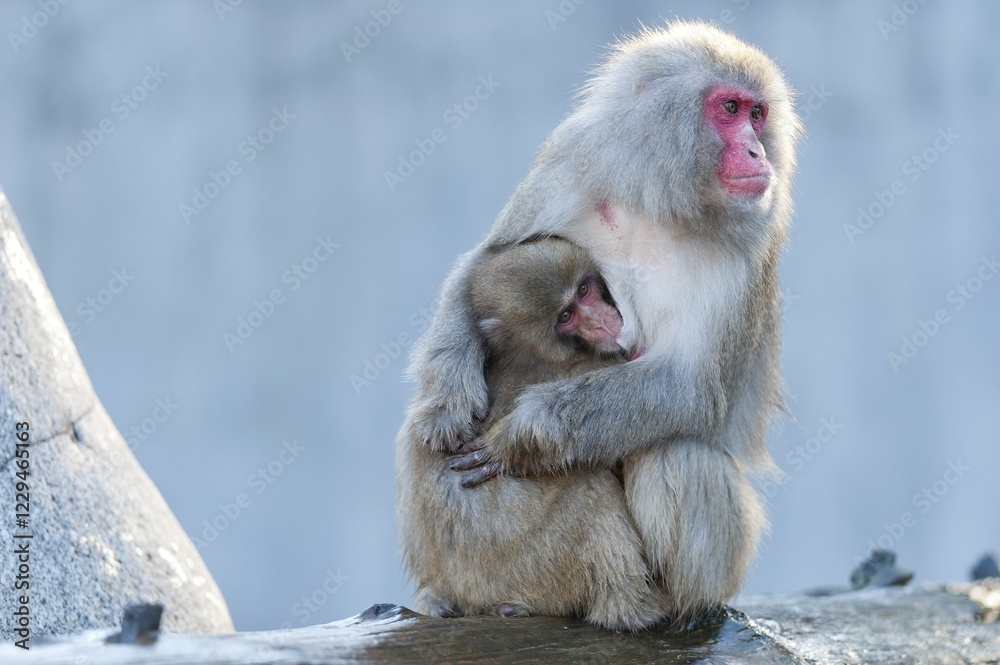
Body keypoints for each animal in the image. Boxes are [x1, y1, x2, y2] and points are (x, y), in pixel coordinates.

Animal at [395, 236, 667, 630]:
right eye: (565, 316)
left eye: (583, 290)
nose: (602, 321)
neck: (532, 353)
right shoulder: (600, 362)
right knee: (590, 487)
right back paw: (632, 608)